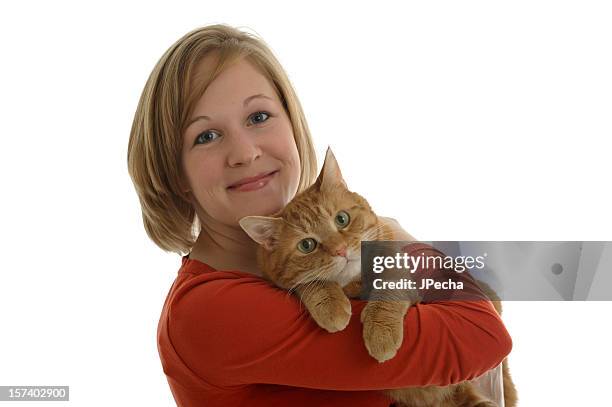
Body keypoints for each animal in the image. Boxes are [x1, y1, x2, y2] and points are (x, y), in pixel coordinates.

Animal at [239, 149, 516, 407]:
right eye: (307, 245)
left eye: (342, 219)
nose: (341, 250)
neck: (354, 283)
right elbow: (308, 283)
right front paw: (330, 305)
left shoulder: (400, 267)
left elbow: (388, 287)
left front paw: (381, 332)